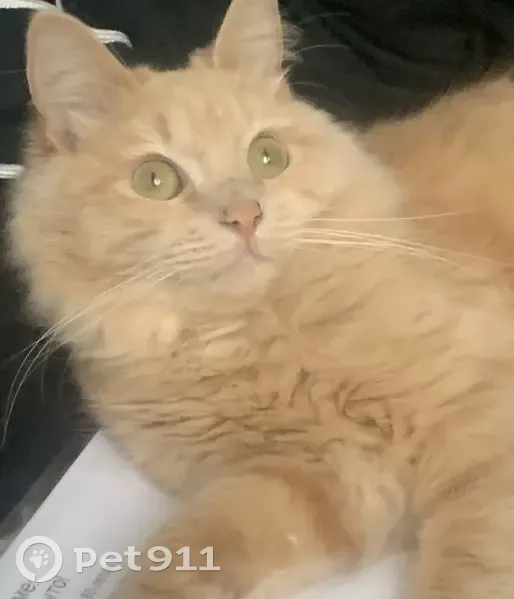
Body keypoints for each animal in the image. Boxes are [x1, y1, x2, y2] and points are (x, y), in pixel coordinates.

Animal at [9, 0, 514, 597]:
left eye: (267, 156)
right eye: (155, 179)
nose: (245, 216)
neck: (254, 341)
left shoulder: (480, 429)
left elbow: (472, 569)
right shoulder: (305, 477)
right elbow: (190, 550)